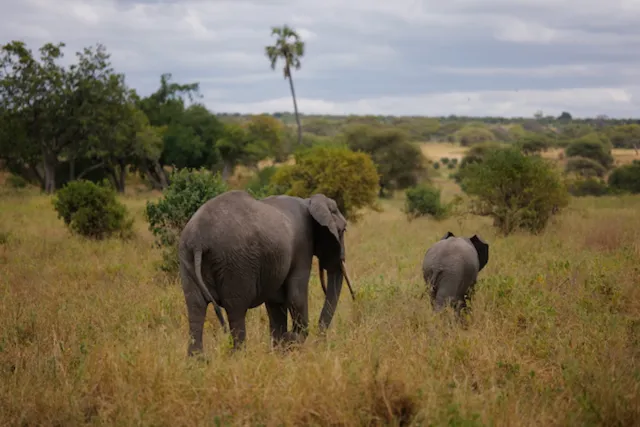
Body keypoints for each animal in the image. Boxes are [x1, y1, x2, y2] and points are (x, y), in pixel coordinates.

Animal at [178, 190, 355, 356]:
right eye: (343, 229)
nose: (320, 341)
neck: (309, 202)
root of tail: (198, 241)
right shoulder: (303, 244)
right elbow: (296, 297)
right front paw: (291, 341)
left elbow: (275, 304)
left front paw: (280, 349)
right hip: (235, 264)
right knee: (236, 309)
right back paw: (239, 357)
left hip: (187, 259)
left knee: (195, 307)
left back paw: (198, 361)